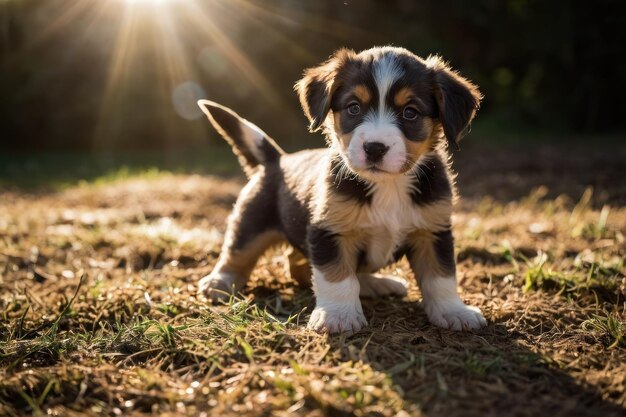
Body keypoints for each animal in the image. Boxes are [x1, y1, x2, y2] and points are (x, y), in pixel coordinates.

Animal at [195, 46, 482, 332]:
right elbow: (337, 277)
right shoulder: (330, 230)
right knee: (238, 252)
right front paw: (338, 316)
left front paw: (453, 311)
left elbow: (441, 276)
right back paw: (219, 281)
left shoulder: (433, 231)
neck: (388, 186)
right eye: (353, 107)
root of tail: (277, 158)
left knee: (300, 266)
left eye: (410, 112)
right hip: (251, 221)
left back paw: (377, 284)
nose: (374, 148)